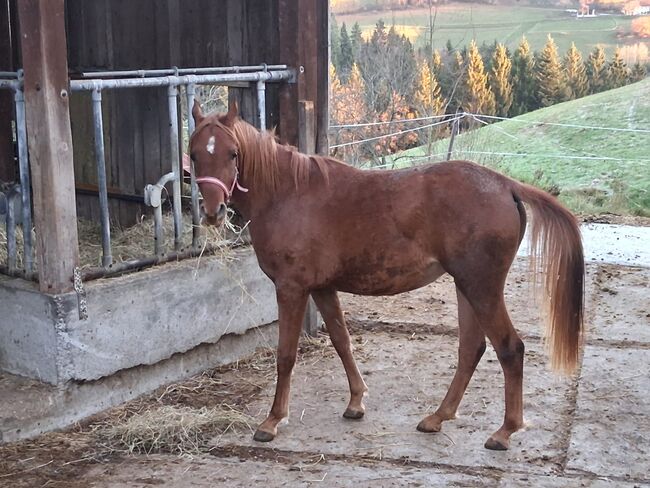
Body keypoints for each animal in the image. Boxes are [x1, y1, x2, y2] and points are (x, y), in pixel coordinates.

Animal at [189, 102, 584, 451]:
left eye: (233, 154)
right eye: (194, 155)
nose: (213, 212)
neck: (287, 194)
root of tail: (506, 185)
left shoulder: (292, 289)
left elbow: (286, 354)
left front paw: (272, 421)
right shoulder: (322, 288)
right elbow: (342, 341)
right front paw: (356, 402)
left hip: (481, 288)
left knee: (509, 349)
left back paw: (504, 432)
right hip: (466, 287)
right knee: (471, 348)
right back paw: (438, 417)